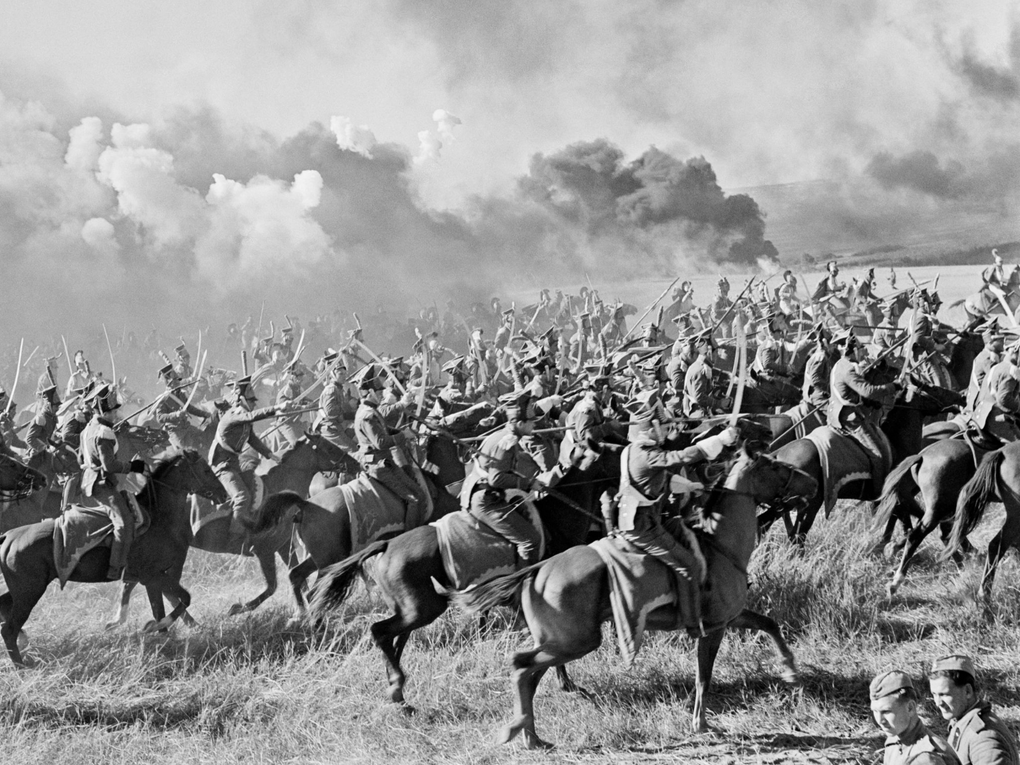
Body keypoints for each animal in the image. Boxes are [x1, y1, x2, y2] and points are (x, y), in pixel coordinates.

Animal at [0, 452, 225, 669]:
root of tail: (9, 536)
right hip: (29, 592)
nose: (222, 493)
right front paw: (154, 627)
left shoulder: (150, 580)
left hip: (21, 591)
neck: (159, 517)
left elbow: (160, 608)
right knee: (9, 629)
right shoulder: (153, 576)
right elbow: (183, 599)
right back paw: (22, 667)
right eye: (206, 470)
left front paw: (162, 637)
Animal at [306, 452, 616, 709]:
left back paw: (397, 691)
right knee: (380, 632)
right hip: (423, 609)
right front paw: (569, 685)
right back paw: (397, 689)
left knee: (394, 640)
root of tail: (387, 544)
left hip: (413, 609)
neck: (555, 519)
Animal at [450, 448, 816, 750]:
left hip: (558, 642)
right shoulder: (713, 628)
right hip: (575, 641)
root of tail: (537, 570)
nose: (811, 481)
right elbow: (704, 676)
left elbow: (769, 624)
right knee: (521, 667)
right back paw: (521, 731)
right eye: (774, 466)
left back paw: (532, 736)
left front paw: (791, 673)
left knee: (530, 674)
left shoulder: (731, 617)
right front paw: (701, 724)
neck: (718, 546)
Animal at [771, 381, 962, 542]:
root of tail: (779, 454)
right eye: (934, 388)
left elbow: (902, 524)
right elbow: (917, 520)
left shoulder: (899, 502)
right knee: (797, 534)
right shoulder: (903, 497)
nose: (959, 397)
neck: (896, 443)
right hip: (811, 503)